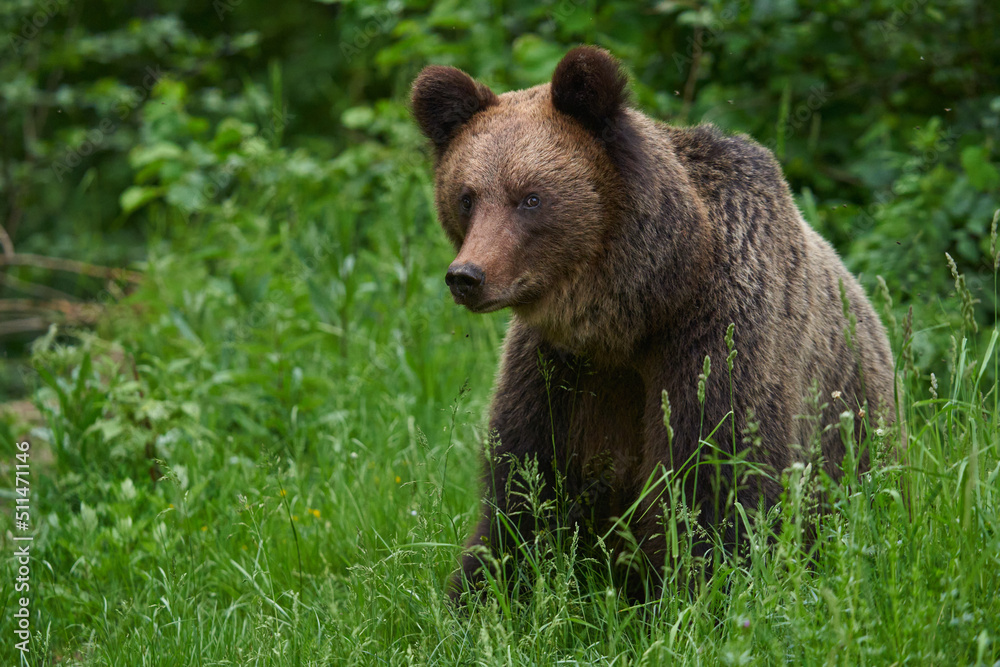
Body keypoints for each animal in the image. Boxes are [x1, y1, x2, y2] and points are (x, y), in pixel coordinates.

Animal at [410, 45, 896, 600]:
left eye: (530, 197)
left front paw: (701, 592)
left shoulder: (718, 335)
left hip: (853, 445)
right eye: (467, 196)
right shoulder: (558, 369)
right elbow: (524, 491)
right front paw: (481, 593)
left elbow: (714, 479)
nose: (467, 276)